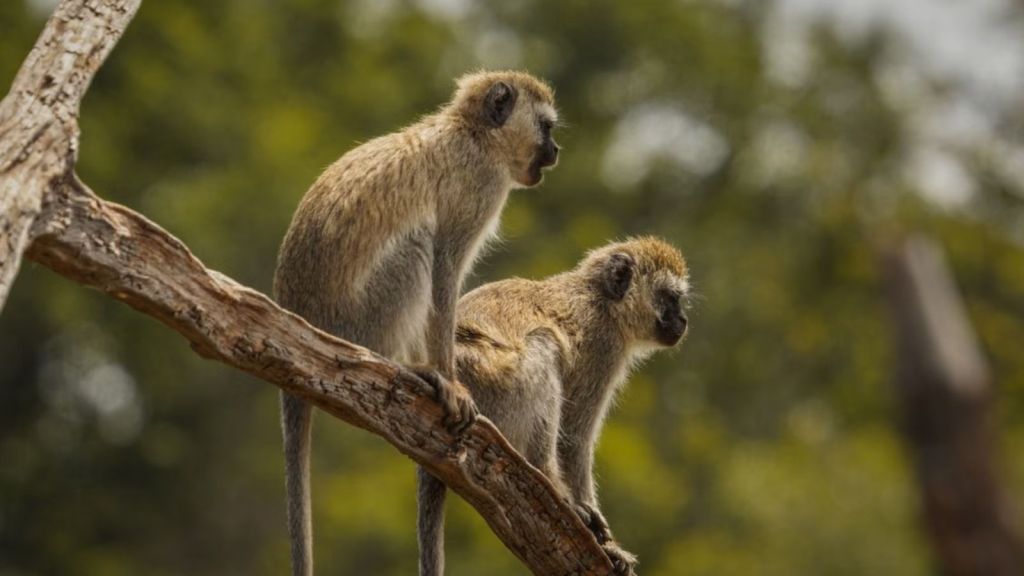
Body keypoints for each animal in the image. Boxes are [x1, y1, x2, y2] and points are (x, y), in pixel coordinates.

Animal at [272, 70, 560, 576]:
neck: (474, 135)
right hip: (358, 323)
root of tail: (298, 316)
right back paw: (402, 366)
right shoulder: (479, 189)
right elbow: (444, 271)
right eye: (546, 127)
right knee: (417, 244)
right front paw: (450, 380)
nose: (556, 150)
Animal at [417, 236, 690, 576]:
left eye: (679, 300)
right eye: (669, 297)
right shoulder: (604, 346)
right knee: (544, 345)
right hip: (493, 383)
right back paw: (549, 479)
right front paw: (607, 545)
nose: (683, 320)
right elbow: (574, 438)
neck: (602, 301)